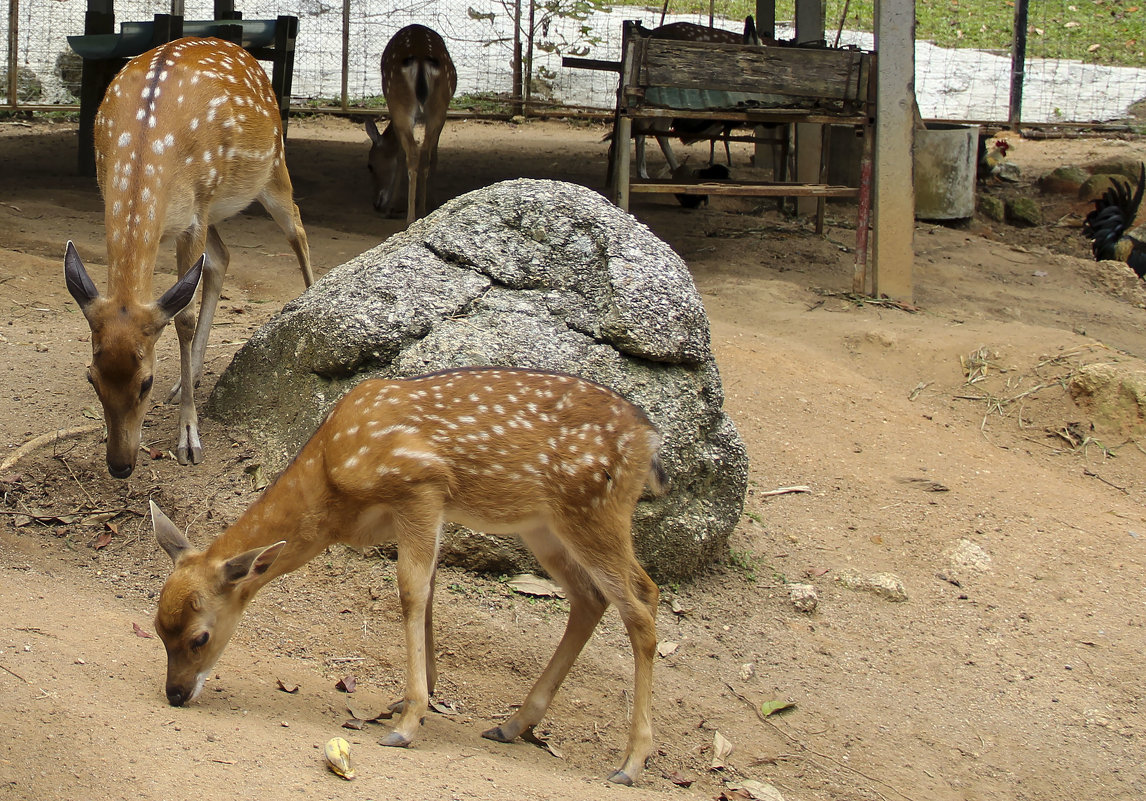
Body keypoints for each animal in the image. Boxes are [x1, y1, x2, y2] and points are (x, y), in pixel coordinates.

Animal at [62, 36, 314, 476]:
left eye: (146, 381)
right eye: (91, 377)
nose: (120, 465)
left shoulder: (195, 216)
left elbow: (184, 318)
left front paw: (189, 438)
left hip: (271, 165)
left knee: (298, 229)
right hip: (212, 208)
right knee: (223, 258)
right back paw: (188, 380)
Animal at [154, 366, 669, 788]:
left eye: (199, 638)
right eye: (159, 629)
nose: (175, 693)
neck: (332, 485)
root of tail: (650, 442)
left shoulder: (420, 487)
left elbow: (410, 592)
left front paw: (407, 724)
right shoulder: (424, 512)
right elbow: (430, 592)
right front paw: (413, 701)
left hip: (592, 508)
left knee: (642, 602)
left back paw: (630, 763)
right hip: (542, 524)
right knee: (591, 598)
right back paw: (512, 725)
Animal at [366, 24, 456, 222]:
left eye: (370, 165)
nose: (376, 204)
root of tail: (421, 59)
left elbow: (400, 155)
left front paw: (391, 207)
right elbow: (434, 154)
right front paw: (433, 201)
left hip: (400, 104)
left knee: (414, 152)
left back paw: (410, 216)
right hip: (437, 107)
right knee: (423, 153)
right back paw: (420, 212)